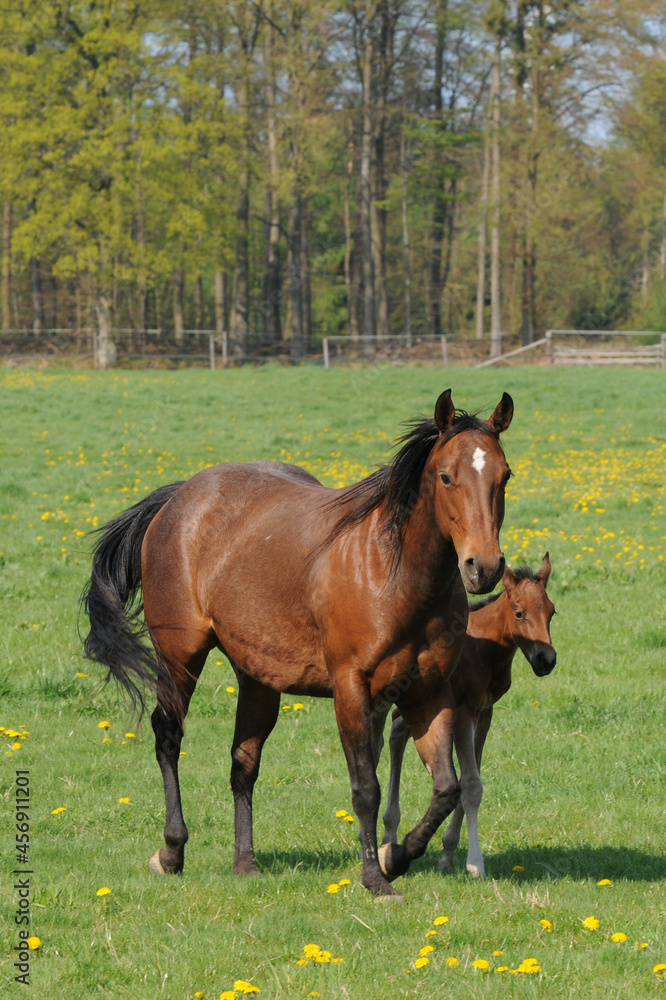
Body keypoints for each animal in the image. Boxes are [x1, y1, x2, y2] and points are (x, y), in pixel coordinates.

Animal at [83, 388, 512, 900]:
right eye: (447, 476)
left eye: (505, 476)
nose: (483, 567)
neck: (393, 572)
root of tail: (182, 496)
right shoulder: (351, 689)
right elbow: (366, 788)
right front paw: (375, 878)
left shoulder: (428, 692)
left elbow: (446, 788)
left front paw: (396, 856)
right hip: (180, 657)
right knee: (168, 736)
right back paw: (170, 852)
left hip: (257, 677)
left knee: (243, 761)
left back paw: (244, 862)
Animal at [378, 556, 556, 876]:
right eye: (519, 612)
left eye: (552, 611)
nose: (545, 660)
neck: (485, 650)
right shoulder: (462, 711)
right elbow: (470, 784)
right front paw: (475, 863)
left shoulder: (484, 712)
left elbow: (470, 777)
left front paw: (448, 853)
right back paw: (387, 832)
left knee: (398, 731)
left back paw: (390, 833)